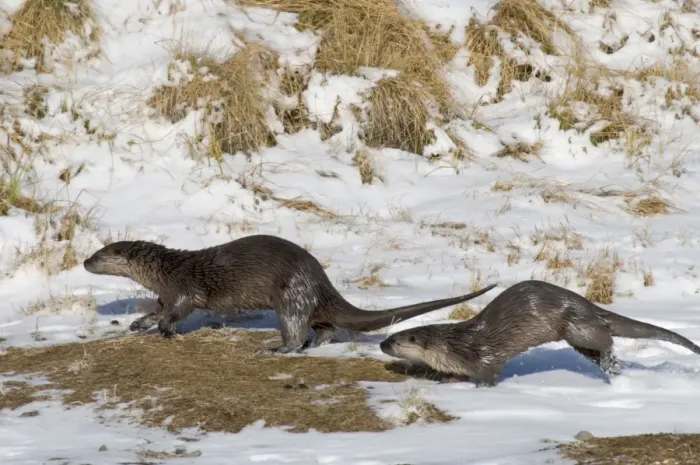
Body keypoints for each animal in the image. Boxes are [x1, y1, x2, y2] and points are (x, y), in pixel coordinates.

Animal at [83, 234, 497, 354]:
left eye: (99, 256)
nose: (84, 261)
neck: (164, 271)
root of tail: (320, 280)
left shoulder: (183, 288)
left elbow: (179, 313)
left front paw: (166, 331)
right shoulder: (165, 293)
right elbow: (157, 311)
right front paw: (139, 323)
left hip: (290, 297)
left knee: (296, 329)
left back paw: (278, 349)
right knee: (324, 327)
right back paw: (315, 345)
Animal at [380, 279, 700, 386]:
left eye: (394, 341)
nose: (381, 345)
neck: (452, 345)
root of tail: (588, 304)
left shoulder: (483, 359)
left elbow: (487, 375)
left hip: (577, 326)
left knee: (605, 338)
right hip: (579, 338)